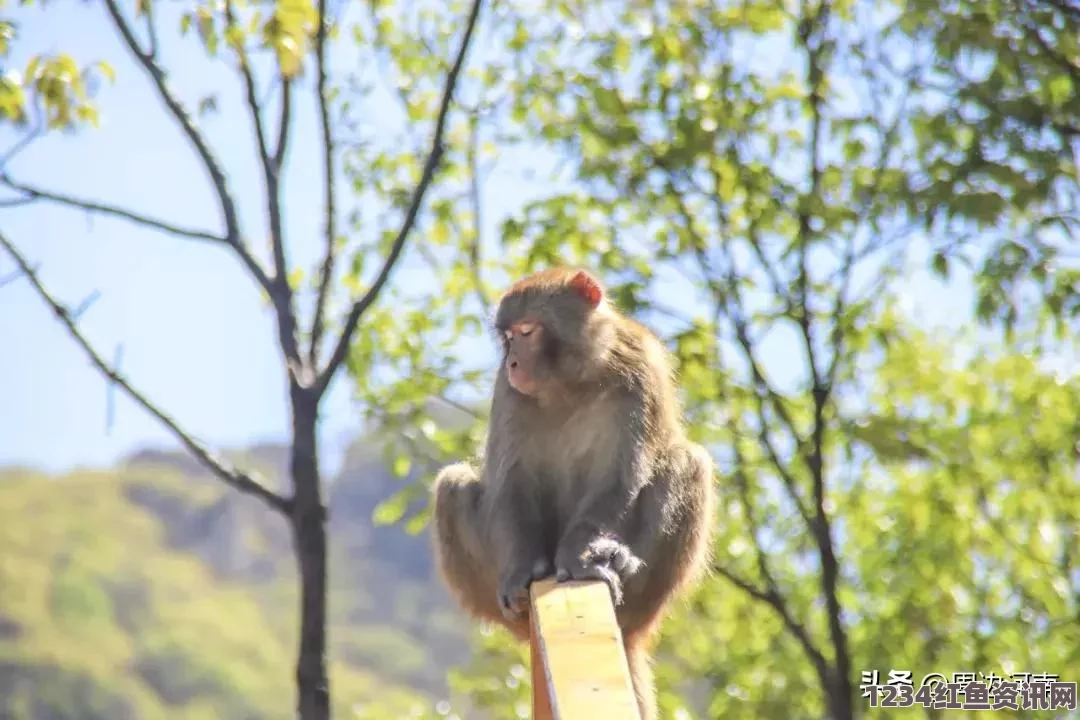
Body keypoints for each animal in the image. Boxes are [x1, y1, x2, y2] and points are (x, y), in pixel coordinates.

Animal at [429, 267, 717, 716]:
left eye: (527, 331)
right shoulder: (508, 390)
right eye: (508, 337)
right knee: (452, 487)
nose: (513, 361)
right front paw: (523, 570)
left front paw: (581, 556)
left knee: (689, 463)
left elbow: (619, 475)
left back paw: (622, 564)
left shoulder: (640, 367)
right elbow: (511, 482)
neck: (571, 379)